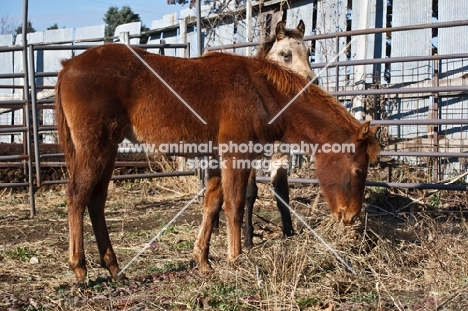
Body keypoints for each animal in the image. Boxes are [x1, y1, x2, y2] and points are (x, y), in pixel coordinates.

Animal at [55, 44, 380, 282]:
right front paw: (236, 259)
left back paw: (114, 268)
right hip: (96, 147)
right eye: (359, 170)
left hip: (108, 149)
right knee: (77, 195)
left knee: (96, 200)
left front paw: (203, 260)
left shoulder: (216, 157)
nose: (350, 217)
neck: (262, 91)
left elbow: (212, 205)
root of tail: (67, 66)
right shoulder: (235, 155)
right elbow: (234, 206)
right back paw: (80, 269)